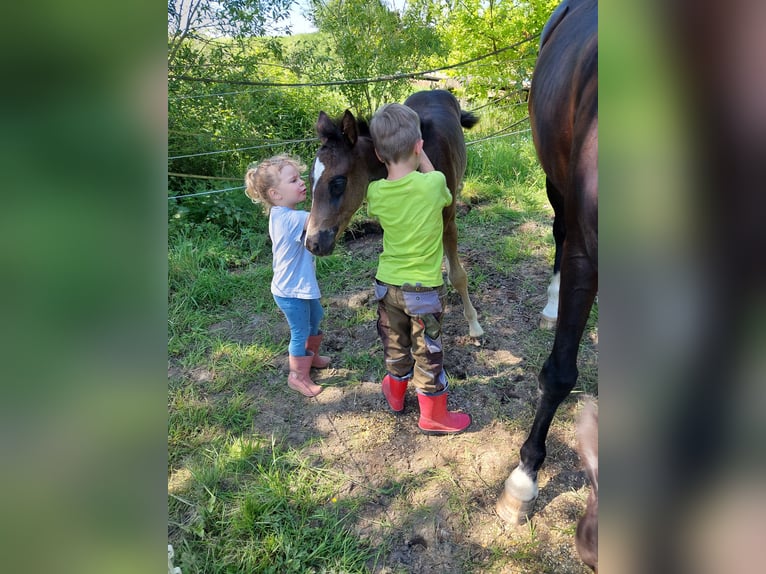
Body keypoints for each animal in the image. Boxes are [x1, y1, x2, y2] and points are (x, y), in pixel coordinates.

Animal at [306, 88, 486, 340]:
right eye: (310, 180)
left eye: (338, 182)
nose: (313, 243)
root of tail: (434, 89)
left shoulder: (448, 219)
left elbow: (459, 276)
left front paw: (474, 325)